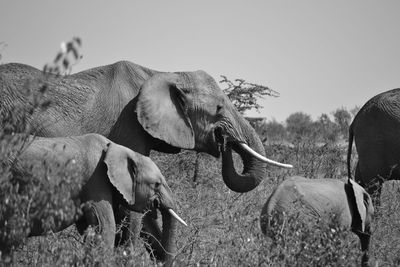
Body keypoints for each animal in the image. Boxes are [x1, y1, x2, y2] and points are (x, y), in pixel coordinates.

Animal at [0, 60, 290, 258]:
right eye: (218, 108)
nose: (225, 141)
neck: (161, 73)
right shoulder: (128, 127)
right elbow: (131, 209)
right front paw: (125, 257)